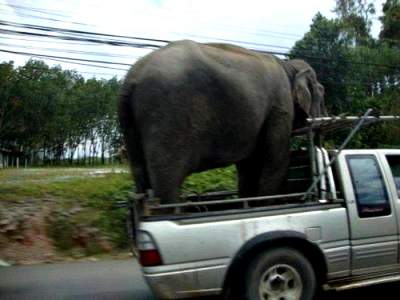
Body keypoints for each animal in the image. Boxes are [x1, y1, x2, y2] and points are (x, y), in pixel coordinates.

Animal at [118, 39, 324, 204]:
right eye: (323, 93)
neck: (289, 66)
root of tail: (131, 79)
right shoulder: (280, 107)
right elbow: (276, 160)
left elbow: (248, 167)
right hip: (166, 116)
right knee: (167, 183)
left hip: (130, 125)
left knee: (142, 178)